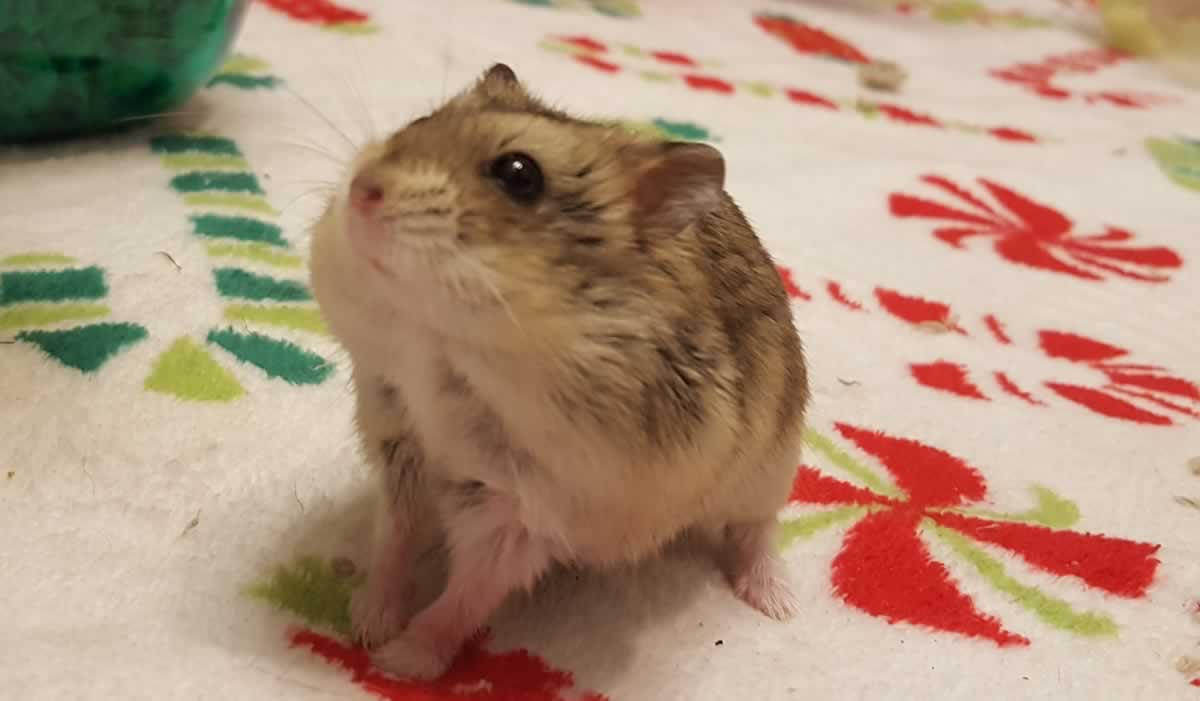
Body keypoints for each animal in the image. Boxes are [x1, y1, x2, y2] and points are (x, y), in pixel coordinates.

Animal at [309, 61, 811, 676]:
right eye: (423, 118)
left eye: (519, 174)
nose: (362, 191)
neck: (444, 345)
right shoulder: (400, 445)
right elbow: (392, 544)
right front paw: (366, 623)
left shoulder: (521, 514)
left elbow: (463, 598)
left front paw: (398, 663)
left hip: (769, 468)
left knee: (758, 531)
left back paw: (778, 605)